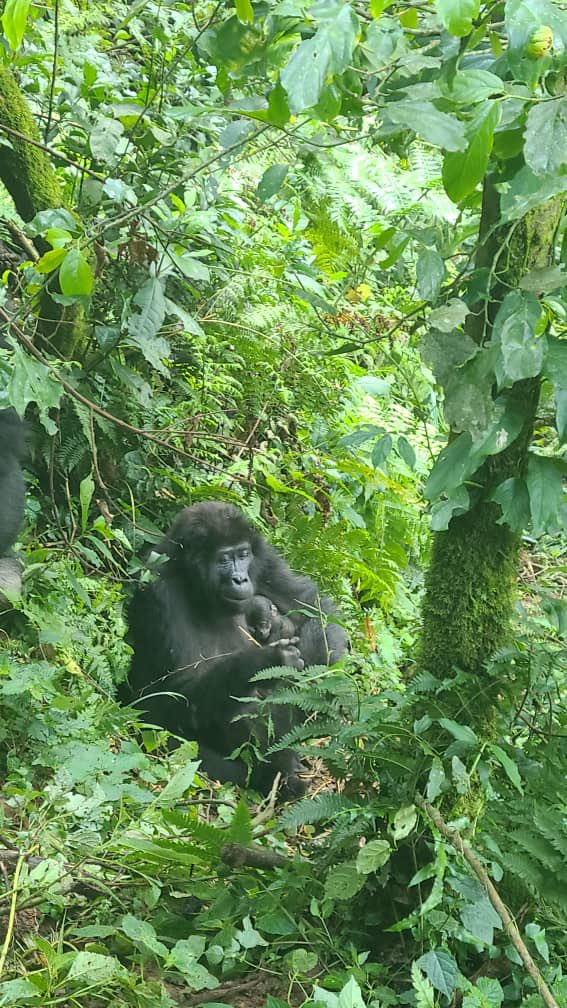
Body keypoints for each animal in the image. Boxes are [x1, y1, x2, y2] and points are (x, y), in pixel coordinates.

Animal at [125, 501, 345, 794]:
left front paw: (316, 676)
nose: (240, 579)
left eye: (242, 555)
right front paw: (267, 661)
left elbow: (313, 607)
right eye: (223, 559)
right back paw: (279, 773)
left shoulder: (265, 559)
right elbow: (182, 690)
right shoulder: (158, 587)